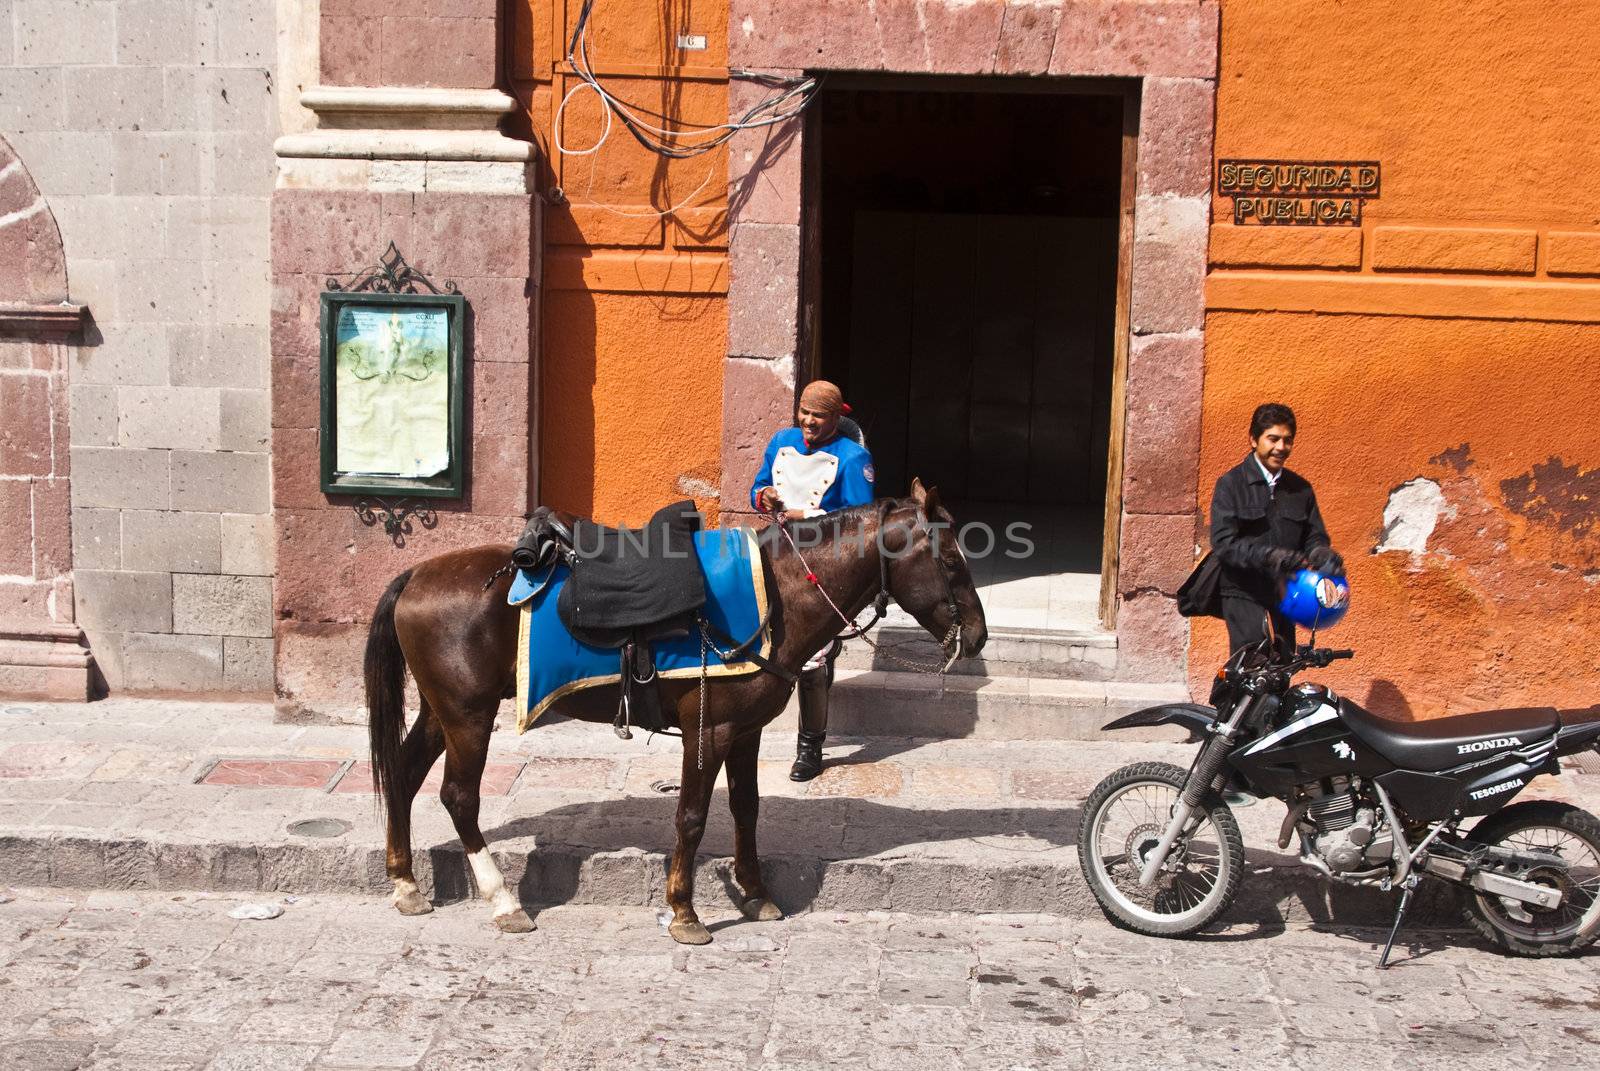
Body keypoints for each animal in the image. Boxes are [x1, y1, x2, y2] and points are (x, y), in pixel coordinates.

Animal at [364, 480, 985, 941]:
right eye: (953, 562)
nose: (977, 637)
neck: (777, 597)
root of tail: (415, 575)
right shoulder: (708, 731)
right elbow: (691, 816)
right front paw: (685, 912)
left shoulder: (745, 732)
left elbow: (746, 810)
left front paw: (756, 894)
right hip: (468, 714)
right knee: (458, 797)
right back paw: (502, 901)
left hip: (441, 710)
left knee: (403, 773)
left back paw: (405, 884)